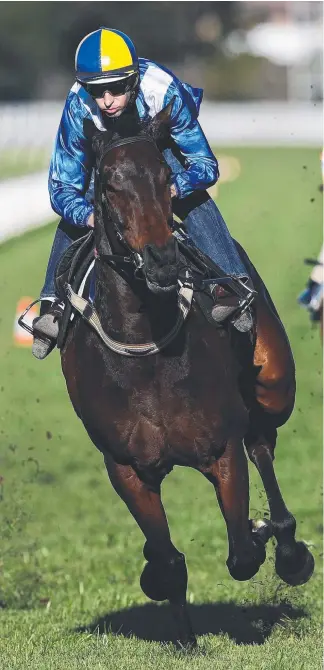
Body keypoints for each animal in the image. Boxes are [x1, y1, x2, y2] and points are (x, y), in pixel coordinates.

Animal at [60, 105, 314, 652]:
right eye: (109, 184)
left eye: (165, 177)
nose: (160, 260)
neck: (146, 348)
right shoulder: (126, 467)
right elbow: (168, 559)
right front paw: (179, 628)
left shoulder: (221, 449)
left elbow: (242, 553)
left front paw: (263, 533)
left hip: (273, 387)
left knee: (263, 442)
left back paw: (288, 548)